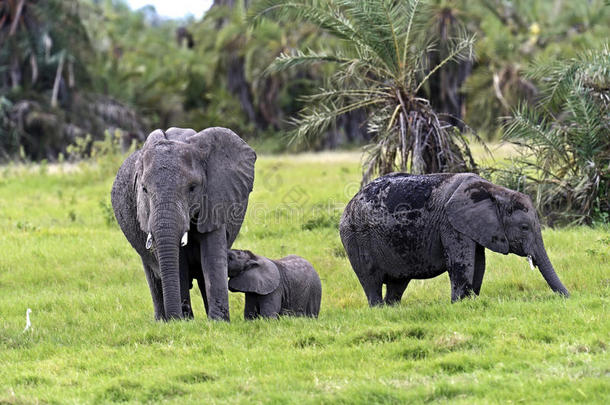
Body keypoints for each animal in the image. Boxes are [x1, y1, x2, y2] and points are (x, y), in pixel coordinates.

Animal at [111, 126, 254, 318]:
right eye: (144, 189)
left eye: (192, 188)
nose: (180, 312)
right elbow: (178, 264)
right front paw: (184, 321)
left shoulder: (215, 199)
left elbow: (212, 258)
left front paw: (218, 321)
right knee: (154, 278)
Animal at [340, 171, 568, 306]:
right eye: (524, 227)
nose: (569, 299)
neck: (494, 191)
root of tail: (350, 203)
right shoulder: (450, 223)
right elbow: (461, 263)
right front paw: (459, 305)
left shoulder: (472, 226)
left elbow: (479, 263)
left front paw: (470, 302)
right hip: (356, 237)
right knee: (371, 279)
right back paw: (378, 308)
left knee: (398, 283)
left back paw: (392, 308)